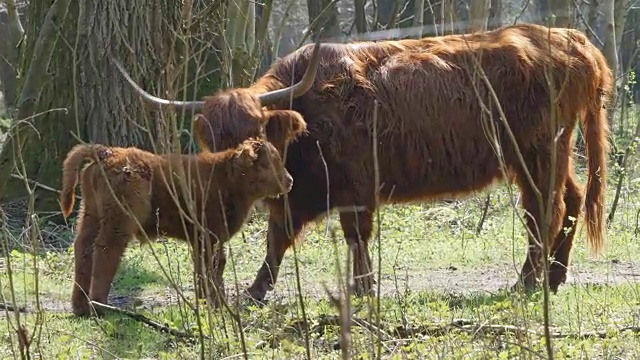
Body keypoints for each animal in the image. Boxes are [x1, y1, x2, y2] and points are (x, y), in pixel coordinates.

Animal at [60, 138, 292, 316]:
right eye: (270, 163)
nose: (289, 180)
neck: (226, 175)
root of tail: (106, 152)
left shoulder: (203, 240)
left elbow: (207, 269)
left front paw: (208, 303)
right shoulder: (209, 237)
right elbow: (212, 268)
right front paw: (216, 304)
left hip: (91, 214)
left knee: (83, 248)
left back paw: (80, 307)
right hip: (118, 222)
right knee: (106, 251)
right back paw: (100, 307)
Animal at [116, 23, 616, 300]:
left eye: (256, 130)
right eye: (216, 138)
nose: (240, 163)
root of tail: (573, 40)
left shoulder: (357, 185)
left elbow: (354, 235)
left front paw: (361, 286)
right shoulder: (298, 193)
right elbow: (277, 239)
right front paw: (256, 290)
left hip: (537, 152)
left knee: (545, 209)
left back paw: (528, 281)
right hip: (544, 154)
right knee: (569, 201)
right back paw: (553, 277)